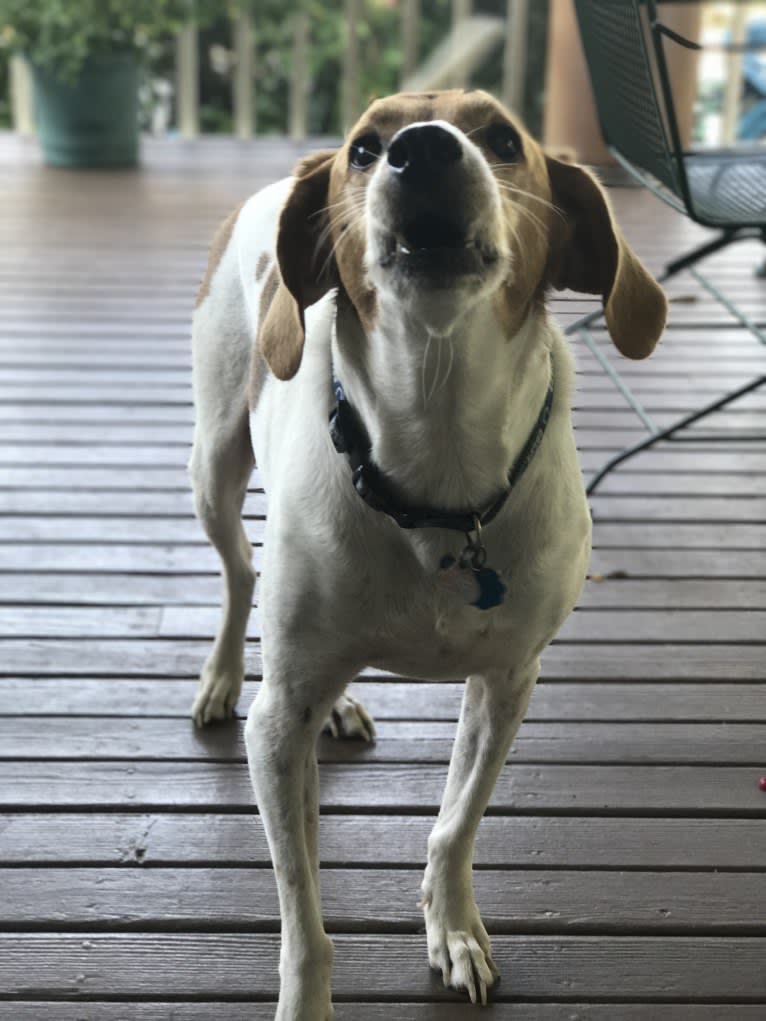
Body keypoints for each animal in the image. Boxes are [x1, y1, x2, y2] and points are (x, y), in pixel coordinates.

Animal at [188, 91, 669, 1016]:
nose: (421, 151)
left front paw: (452, 928)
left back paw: (338, 704)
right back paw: (223, 675)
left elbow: (456, 822)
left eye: (505, 139)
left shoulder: (508, 683)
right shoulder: (278, 726)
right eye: (363, 149)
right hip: (215, 467)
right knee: (236, 574)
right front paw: (306, 997)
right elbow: (304, 919)